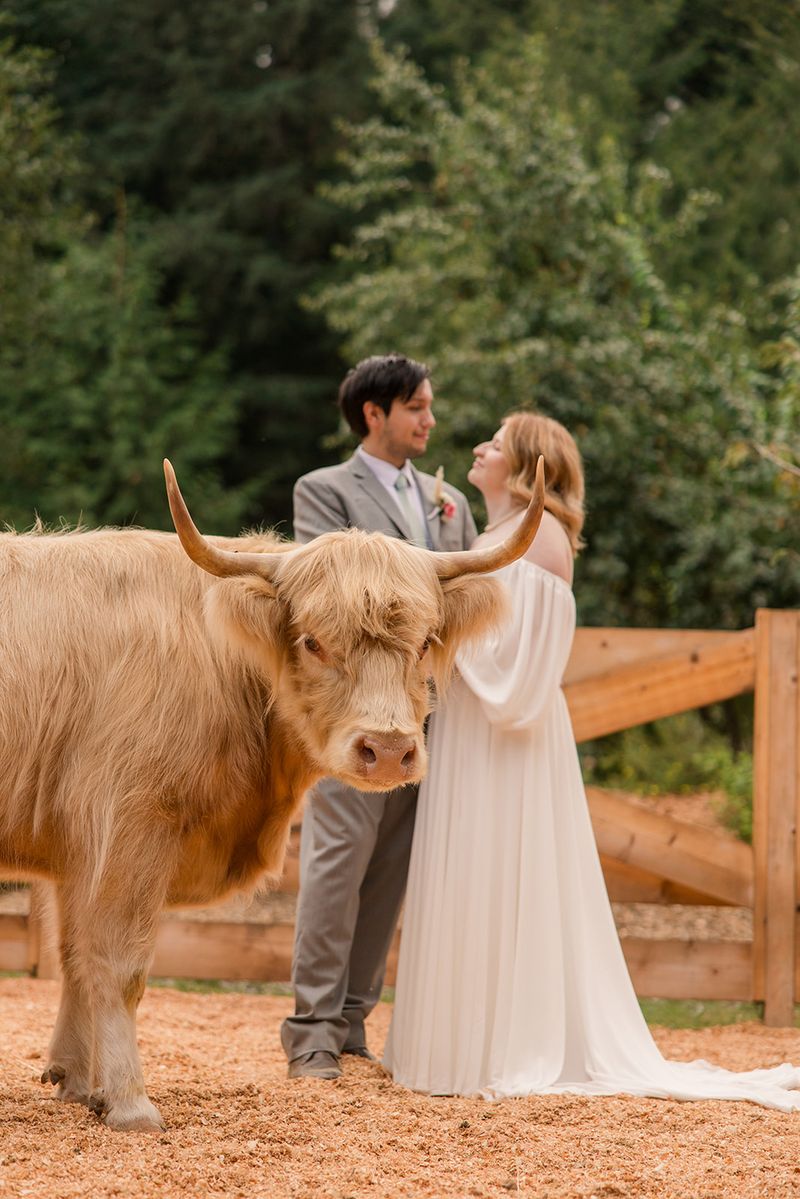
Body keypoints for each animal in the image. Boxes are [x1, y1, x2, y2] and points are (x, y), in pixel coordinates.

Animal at [0, 458, 544, 1131]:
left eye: (424, 643)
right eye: (312, 641)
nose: (389, 749)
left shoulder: (80, 846)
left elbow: (76, 957)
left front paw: (79, 1084)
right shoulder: (129, 824)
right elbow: (119, 965)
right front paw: (129, 1102)